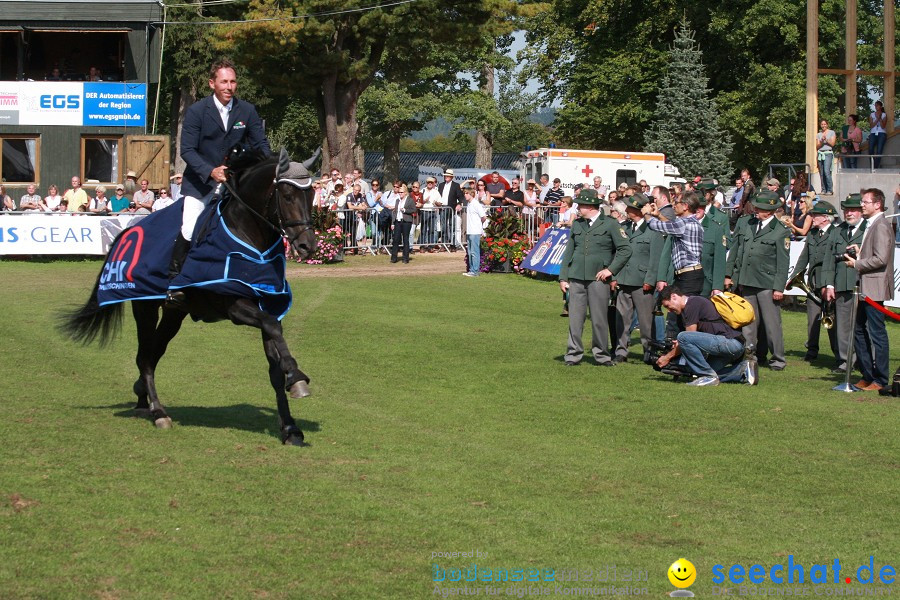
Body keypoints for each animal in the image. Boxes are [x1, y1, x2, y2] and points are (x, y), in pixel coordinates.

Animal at [62, 148, 316, 442]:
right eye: (286, 195)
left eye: (311, 194)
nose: (307, 246)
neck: (248, 234)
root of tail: (128, 230)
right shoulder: (235, 306)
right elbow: (273, 327)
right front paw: (296, 376)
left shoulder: (267, 304)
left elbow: (274, 359)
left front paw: (290, 426)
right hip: (145, 307)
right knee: (145, 357)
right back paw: (158, 412)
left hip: (174, 313)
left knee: (153, 353)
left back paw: (142, 398)